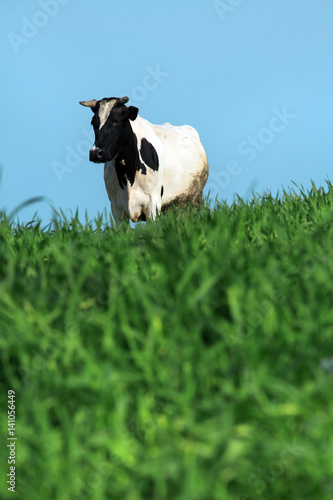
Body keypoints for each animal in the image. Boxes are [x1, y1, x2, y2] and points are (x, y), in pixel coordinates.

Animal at [80, 95, 208, 225]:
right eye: (93, 123)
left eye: (116, 121)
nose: (95, 153)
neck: (129, 174)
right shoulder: (116, 207)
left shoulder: (153, 203)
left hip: (193, 201)